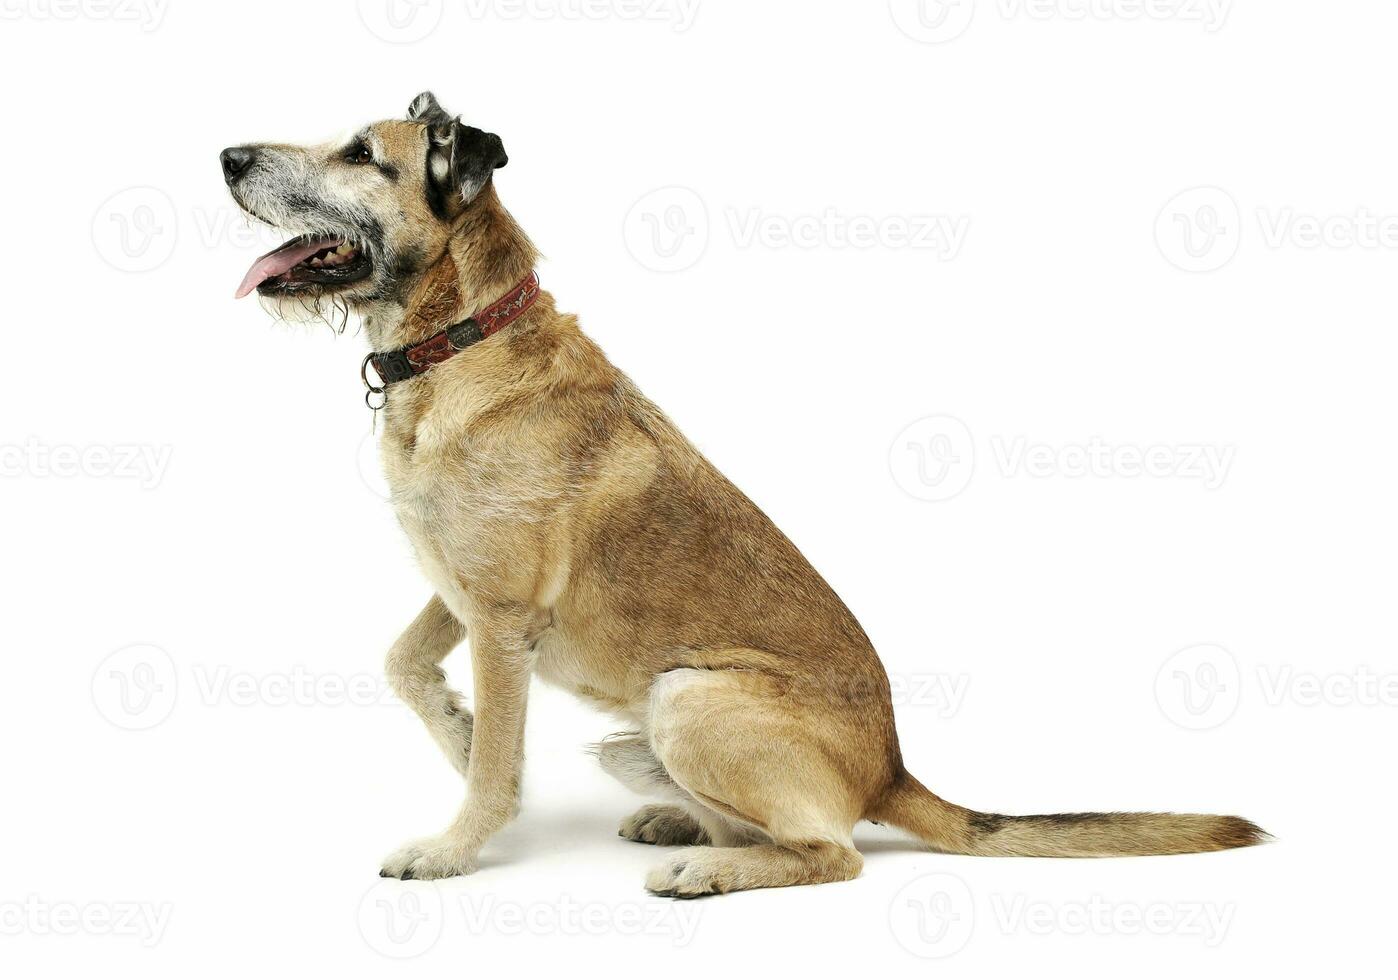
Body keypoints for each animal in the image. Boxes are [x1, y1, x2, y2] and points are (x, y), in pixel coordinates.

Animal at [220, 91, 1269, 894]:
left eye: (361, 155)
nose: (227, 155)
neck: (462, 339)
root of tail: (892, 772)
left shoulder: (503, 615)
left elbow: (487, 770)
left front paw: (453, 845)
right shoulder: (462, 592)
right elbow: (404, 665)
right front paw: (460, 725)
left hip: (688, 695)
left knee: (833, 853)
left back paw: (709, 868)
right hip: (645, 727)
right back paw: (681, 826)